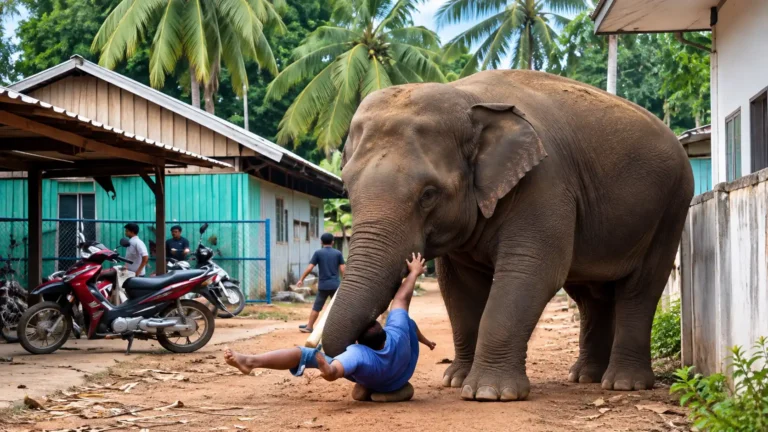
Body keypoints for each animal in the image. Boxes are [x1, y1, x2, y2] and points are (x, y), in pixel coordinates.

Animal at [321, 69, 694, 402]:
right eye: (346, 188)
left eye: (428, 194)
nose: (375, 389)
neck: (467, 97)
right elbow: (457, 286)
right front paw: (456, 381)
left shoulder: (545, 182)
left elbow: (531, 271)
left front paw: (489, 393)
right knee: (590, 295)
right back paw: (585, 377)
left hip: (672, 205)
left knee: (640, 287)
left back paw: (623, 385)